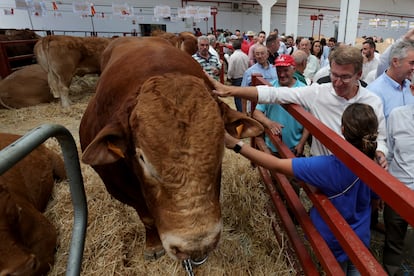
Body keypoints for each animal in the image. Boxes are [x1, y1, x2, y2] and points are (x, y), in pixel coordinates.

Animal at [79, 35, 264, 264]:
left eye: (220, 150)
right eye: (142, 158)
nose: (196, 245)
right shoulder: (118, 186)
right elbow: (146, 217)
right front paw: (152, 245)